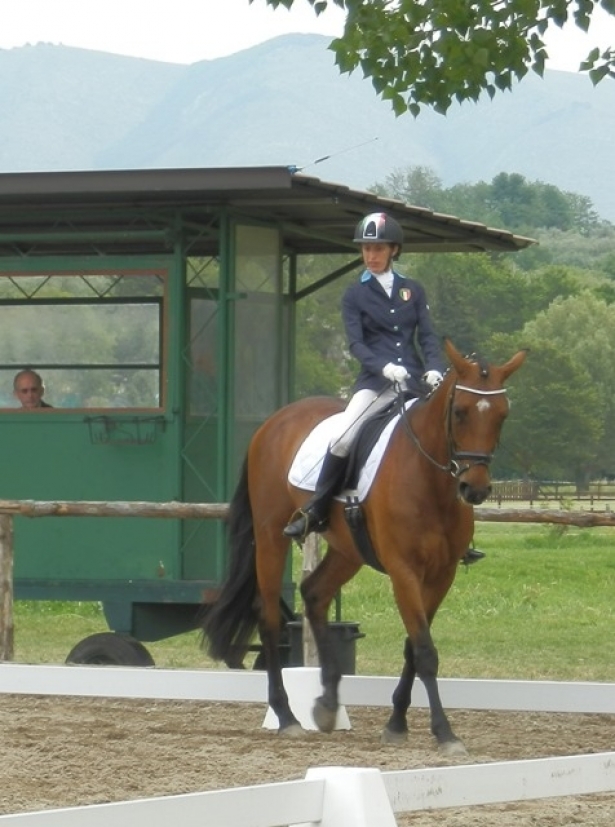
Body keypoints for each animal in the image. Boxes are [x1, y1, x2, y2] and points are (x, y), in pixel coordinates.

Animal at [200, 338, 528, 756]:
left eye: (502, 415)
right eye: (460, 412)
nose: (476, 489)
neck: (429, 480)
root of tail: (275, 420)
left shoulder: (442, 575)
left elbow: (413, 647)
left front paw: (397, 723)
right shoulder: (404, 570)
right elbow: (425, 651)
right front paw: (444, 732)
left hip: (347, 550)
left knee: (315, 594)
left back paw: (326, 705)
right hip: (271, 534)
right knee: (269, 616)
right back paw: (287, 717)